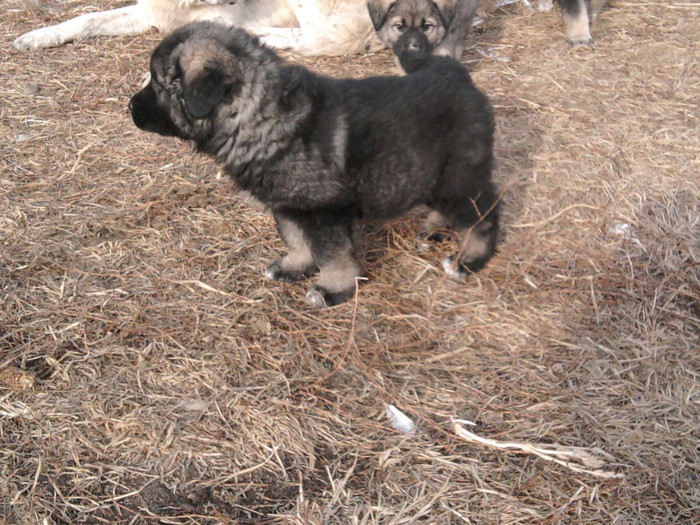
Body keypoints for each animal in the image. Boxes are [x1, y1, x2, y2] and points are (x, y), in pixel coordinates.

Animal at [127, 23, 498, 308]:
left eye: (158, 83)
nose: (129, 107)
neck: (259, 116)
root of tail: (455, 72)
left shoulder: (324, 209)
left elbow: (333, 254)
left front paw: (333, 288)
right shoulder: (289, 204)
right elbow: (297, 239)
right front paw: (294, 266)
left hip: (457, 175)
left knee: (483, 214)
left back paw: (468, 260)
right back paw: (434, 229)